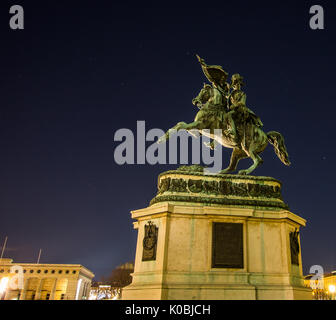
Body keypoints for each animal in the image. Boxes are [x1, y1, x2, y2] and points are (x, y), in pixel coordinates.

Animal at [157, 84, 288, 175]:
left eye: (203, 91)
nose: (195, 101)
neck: (212, 107)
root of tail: (266, 135)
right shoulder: (197, 131)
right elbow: (180, 124)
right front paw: (162, 138)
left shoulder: (200, 125)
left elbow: (180, 126)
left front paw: (161, 139)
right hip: (238, 151)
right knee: (233, 166)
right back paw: (218, 173)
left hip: (248, 148)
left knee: (257, 160)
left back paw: (244, 172)